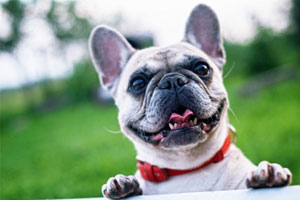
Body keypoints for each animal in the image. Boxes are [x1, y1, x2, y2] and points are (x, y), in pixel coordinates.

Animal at [88, 4, 292, 198]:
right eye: (138, 83)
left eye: (202, 68)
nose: (172, 81)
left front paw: (269, 174)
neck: (185, 168)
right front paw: (121, 184)